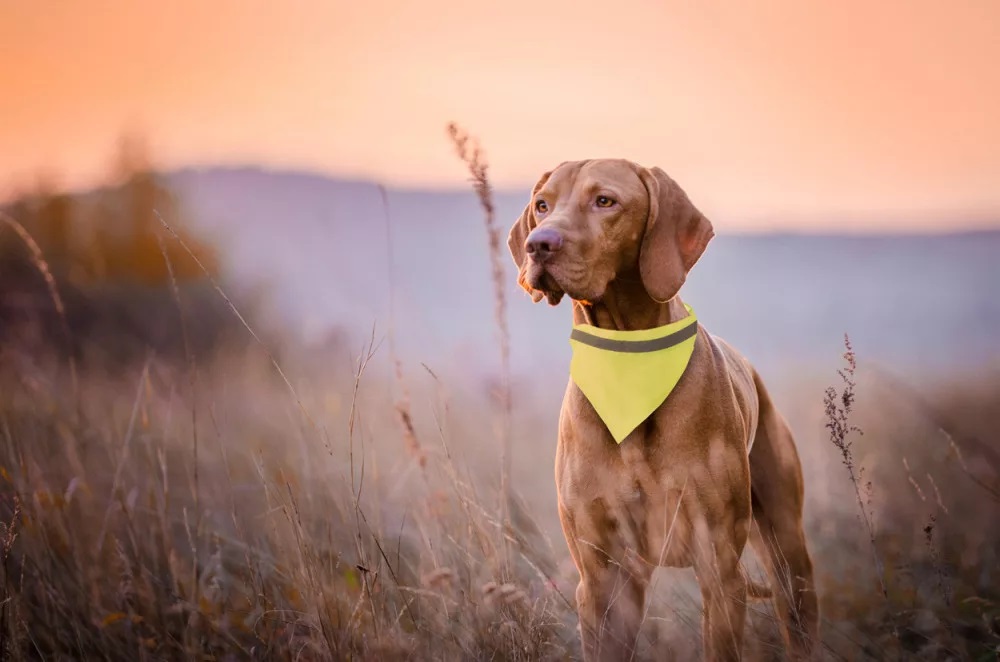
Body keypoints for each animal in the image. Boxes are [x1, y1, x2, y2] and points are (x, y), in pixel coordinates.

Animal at [508, 160, 820, 660]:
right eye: (542, 205)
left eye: (605, 201)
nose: (538, 244)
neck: (627, 365)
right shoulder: (603, 578)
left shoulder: (719, 568)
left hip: (788, 554)